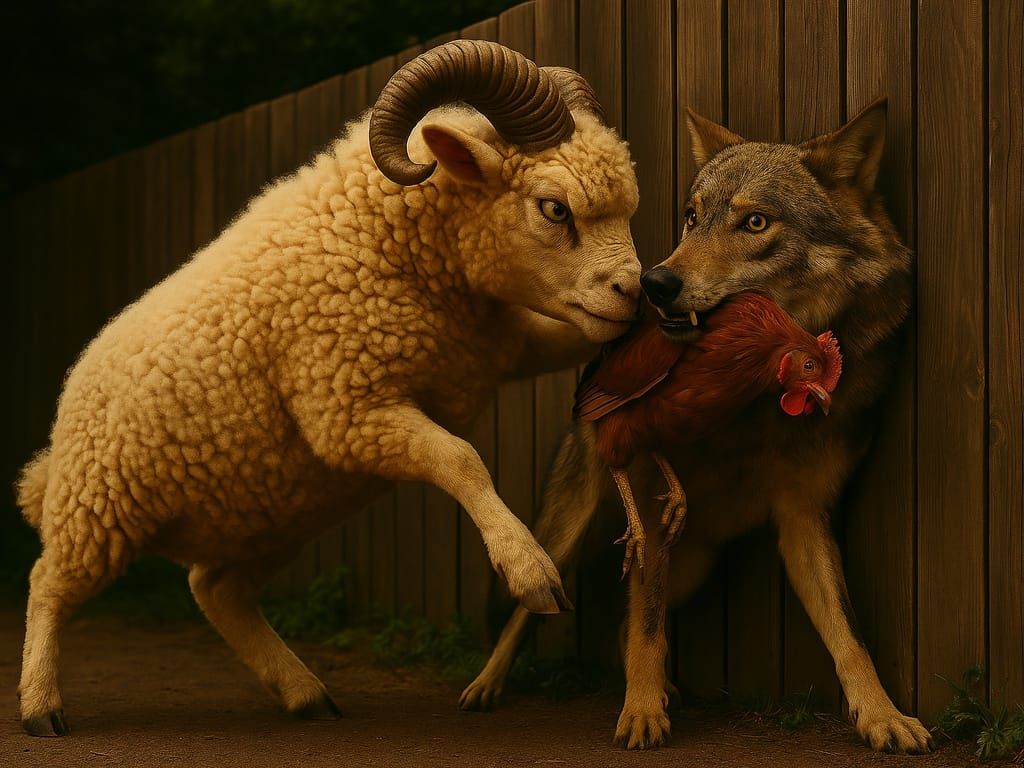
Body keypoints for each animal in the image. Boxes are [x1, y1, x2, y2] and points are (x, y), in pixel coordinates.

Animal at [15, 39, 641, 737]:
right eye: (554, 207)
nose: (636, 291)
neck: (390, 246)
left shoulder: (503, 351)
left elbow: (567, 350)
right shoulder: (346, 413)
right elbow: (461, 459)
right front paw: (530, 571)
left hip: (269, 516)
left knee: (216, 591)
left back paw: (304, 693)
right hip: (96, 510)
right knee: (47, 583)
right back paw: (40, 707)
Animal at [458, 98, 934, 754]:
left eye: (755, 222)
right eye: (691, 217)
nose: (653, 285)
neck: (757, 403)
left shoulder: (805, 515)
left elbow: (848, 631)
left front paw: (883, 715)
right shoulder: (650, 494)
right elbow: (647, 622)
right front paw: (640, 714)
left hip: (697, 559)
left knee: (623, 622)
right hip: (570, 532)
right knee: (537, 612)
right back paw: (488, 685)